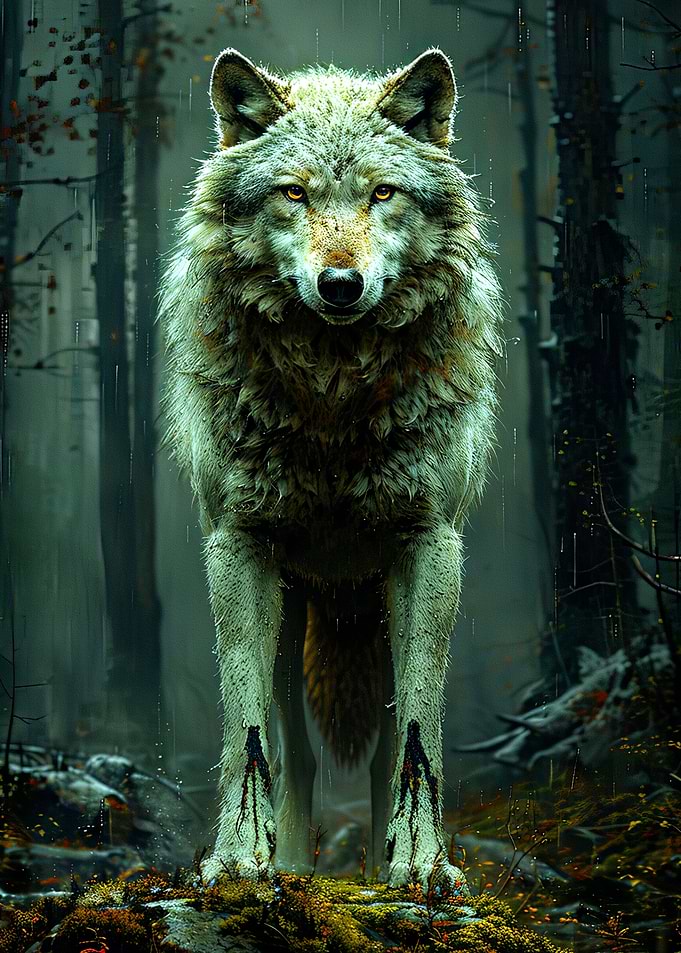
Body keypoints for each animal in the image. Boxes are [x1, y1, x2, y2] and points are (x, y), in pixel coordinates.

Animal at [159, 46, 503, 894]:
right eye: (294, 193)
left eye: (382, 192)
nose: (340, 284)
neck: (333, 397)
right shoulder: (240, 546)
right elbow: (246, 731)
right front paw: (236, 859)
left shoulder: (428, 547)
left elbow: (416, 737)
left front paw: (423, 865)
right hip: (294, 606)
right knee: (297, 751)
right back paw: (287, 863)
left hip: (370, 608)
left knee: (377, 751)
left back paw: (381, 865)